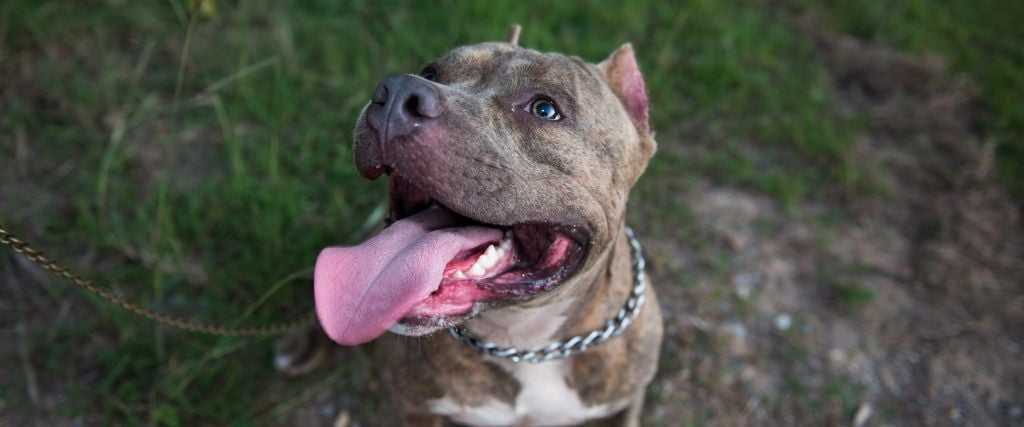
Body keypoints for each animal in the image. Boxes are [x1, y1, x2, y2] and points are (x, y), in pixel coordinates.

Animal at [313, 25, 663, 421]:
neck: (523, 342)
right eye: (431, 72)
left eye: (545, 109)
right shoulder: (412, 407)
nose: (398, 90)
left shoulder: (625, 404)